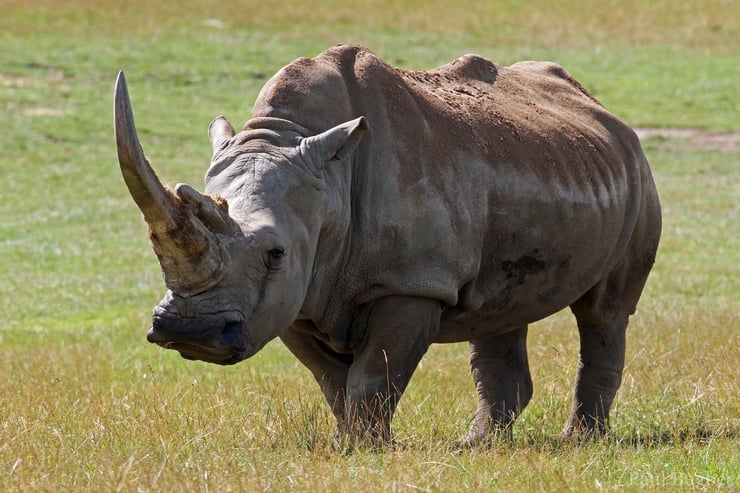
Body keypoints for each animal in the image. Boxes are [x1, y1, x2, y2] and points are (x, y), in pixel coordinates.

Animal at [114, 45, 661, 446]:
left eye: (275, 253)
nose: (190, 332)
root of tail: (601, 108)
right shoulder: (294, 293)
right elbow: (332, 381)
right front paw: (347, 447)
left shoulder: (410, 283)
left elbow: (374, 373)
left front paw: (369, 451)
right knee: (498, 308)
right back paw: (476, 446)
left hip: (636, 173)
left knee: (605, 312)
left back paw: (580, 441)